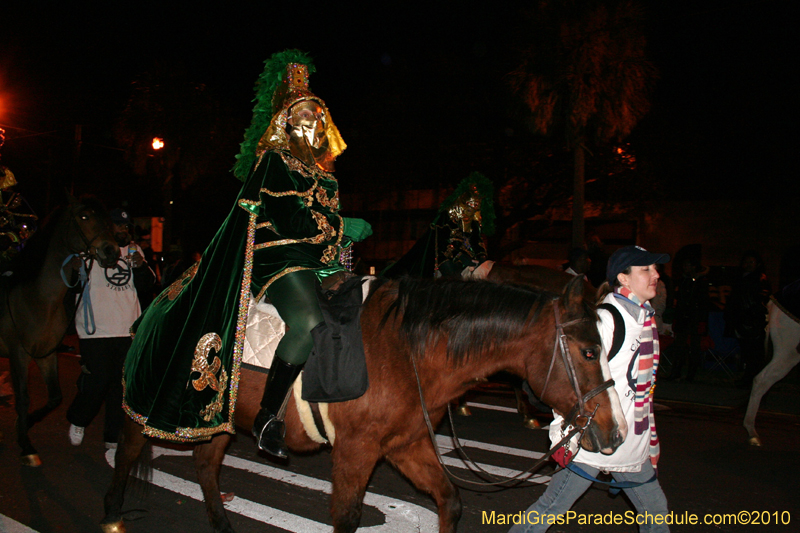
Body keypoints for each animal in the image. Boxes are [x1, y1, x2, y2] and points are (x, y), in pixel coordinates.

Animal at [0, 197, 119, 464]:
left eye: (107, 218)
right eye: (84, 216)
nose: (112, 251)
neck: (36, 298)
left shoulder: (45, 353)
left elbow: (55, 397)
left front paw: (24, 424)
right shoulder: (18, 352)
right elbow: (23, 397)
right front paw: (26, 446)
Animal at [100, 274, 624, 532]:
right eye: (589, 351)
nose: (615, 432)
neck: (406, 351)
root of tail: (163, 297)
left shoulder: (407, 444)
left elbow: (450, 502)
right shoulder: (356, 451)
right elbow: (347, 518)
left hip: (220, 417)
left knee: (206, 465)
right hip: (148, 406)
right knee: (127, 454)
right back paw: (111, 516)